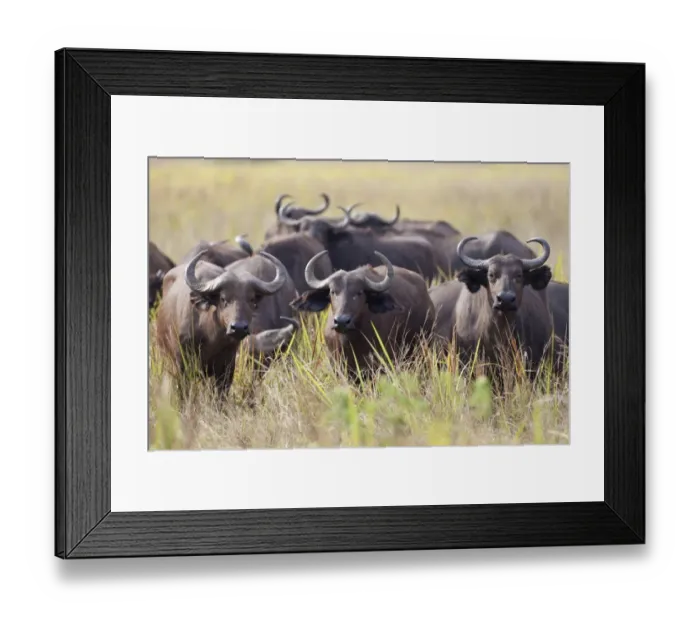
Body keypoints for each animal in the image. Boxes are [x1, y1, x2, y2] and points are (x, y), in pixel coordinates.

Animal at [155, 249, 298, 398]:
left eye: (251, 299)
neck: (210, 336)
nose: (239, 328)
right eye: (223, 299)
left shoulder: (226, 369)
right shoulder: (181, 365)